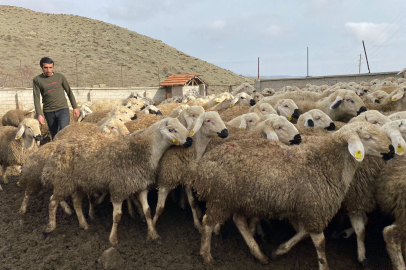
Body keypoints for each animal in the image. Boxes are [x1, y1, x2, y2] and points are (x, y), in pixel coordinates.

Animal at [41, 117, 193, 244]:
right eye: (172, 129)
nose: (190, 140)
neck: (143, 149)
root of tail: (59, 149)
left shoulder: (141, 186)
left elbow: (148, 211)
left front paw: (153, 234)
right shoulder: (119, 189)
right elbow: (117, 216)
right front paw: (113, 239)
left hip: (79, 184)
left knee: (76, 202)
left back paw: (84, 224)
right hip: (63, 182)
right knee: (52, 201)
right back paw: (51, 226)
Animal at [193, 122, 394, 268]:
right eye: (367, 137)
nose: (392, 150)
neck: (325, 165)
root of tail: (207, 160)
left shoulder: (306, 209)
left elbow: (303, 233)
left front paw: (279, 250)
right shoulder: (314, 209)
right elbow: (320, 243)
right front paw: (324, 266)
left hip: (239, 199)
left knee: (239, 221)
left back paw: (259, 255)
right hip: (221, 198)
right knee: (208, 222)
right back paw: (206, 255)